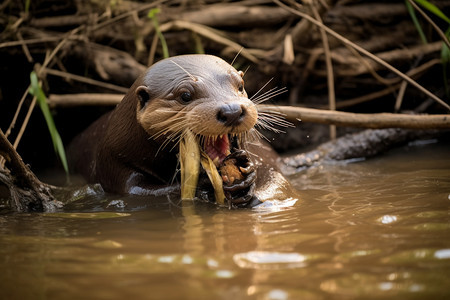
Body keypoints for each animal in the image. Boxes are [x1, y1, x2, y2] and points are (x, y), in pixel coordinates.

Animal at [68, 55, 298, 207]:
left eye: (240, 85)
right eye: (185, 95)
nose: (232, 110)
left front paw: (247, 174)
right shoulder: (114, 161)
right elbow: (139, 190)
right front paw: (204, 183)